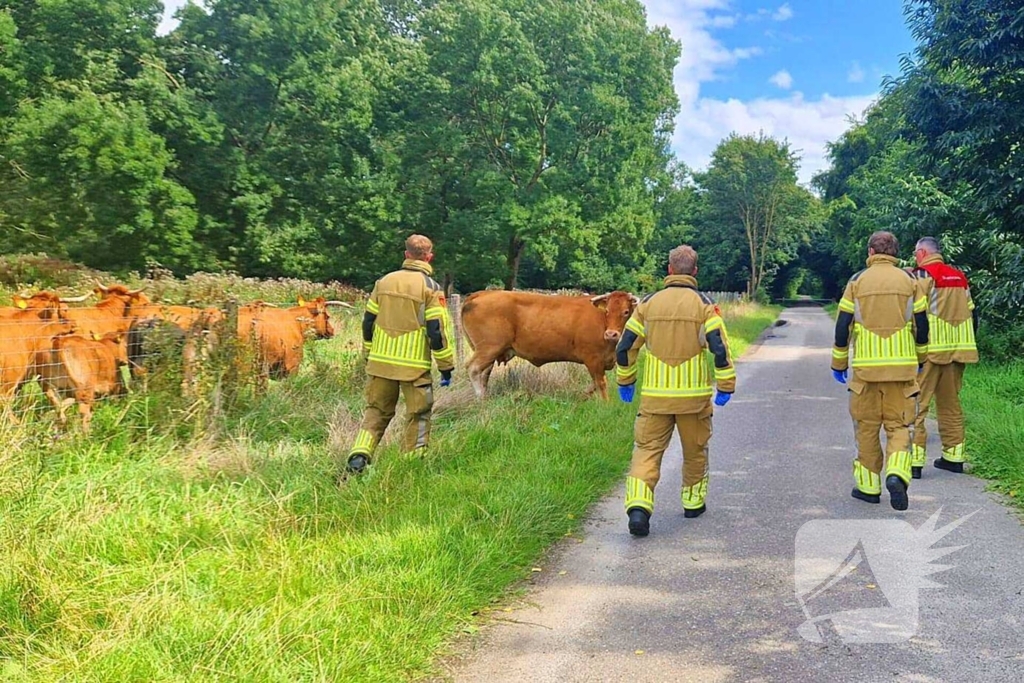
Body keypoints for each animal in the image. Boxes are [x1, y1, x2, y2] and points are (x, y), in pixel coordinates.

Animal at [460, 290, 639, 400]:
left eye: (626, 312)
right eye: (607, 311)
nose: (611, 334)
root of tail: (482, 293)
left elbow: (594, 384)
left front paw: (582, 397)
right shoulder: (593, 359)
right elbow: (601, 384)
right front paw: (606, 404)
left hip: (488, 351)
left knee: (484, 373)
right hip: (489, 348)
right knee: (473, 369)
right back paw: (480, 397)